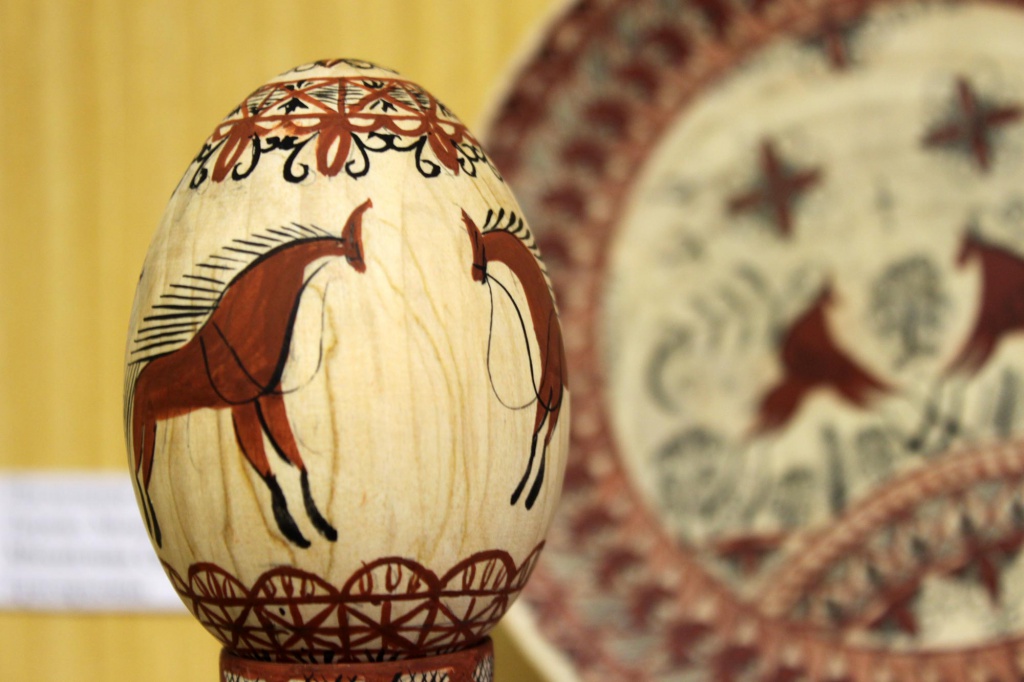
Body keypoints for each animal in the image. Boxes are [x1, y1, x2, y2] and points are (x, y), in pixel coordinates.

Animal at [126, 199, 373, 548]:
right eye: (354, 246)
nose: (363, 266)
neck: (250, 316)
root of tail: (140, 382)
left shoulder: (269, 398)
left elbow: (296, 461)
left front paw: (320, 524)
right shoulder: (242, 408)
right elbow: (269, 471)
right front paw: (291, 529)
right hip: (144, 433)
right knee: (142, 478)